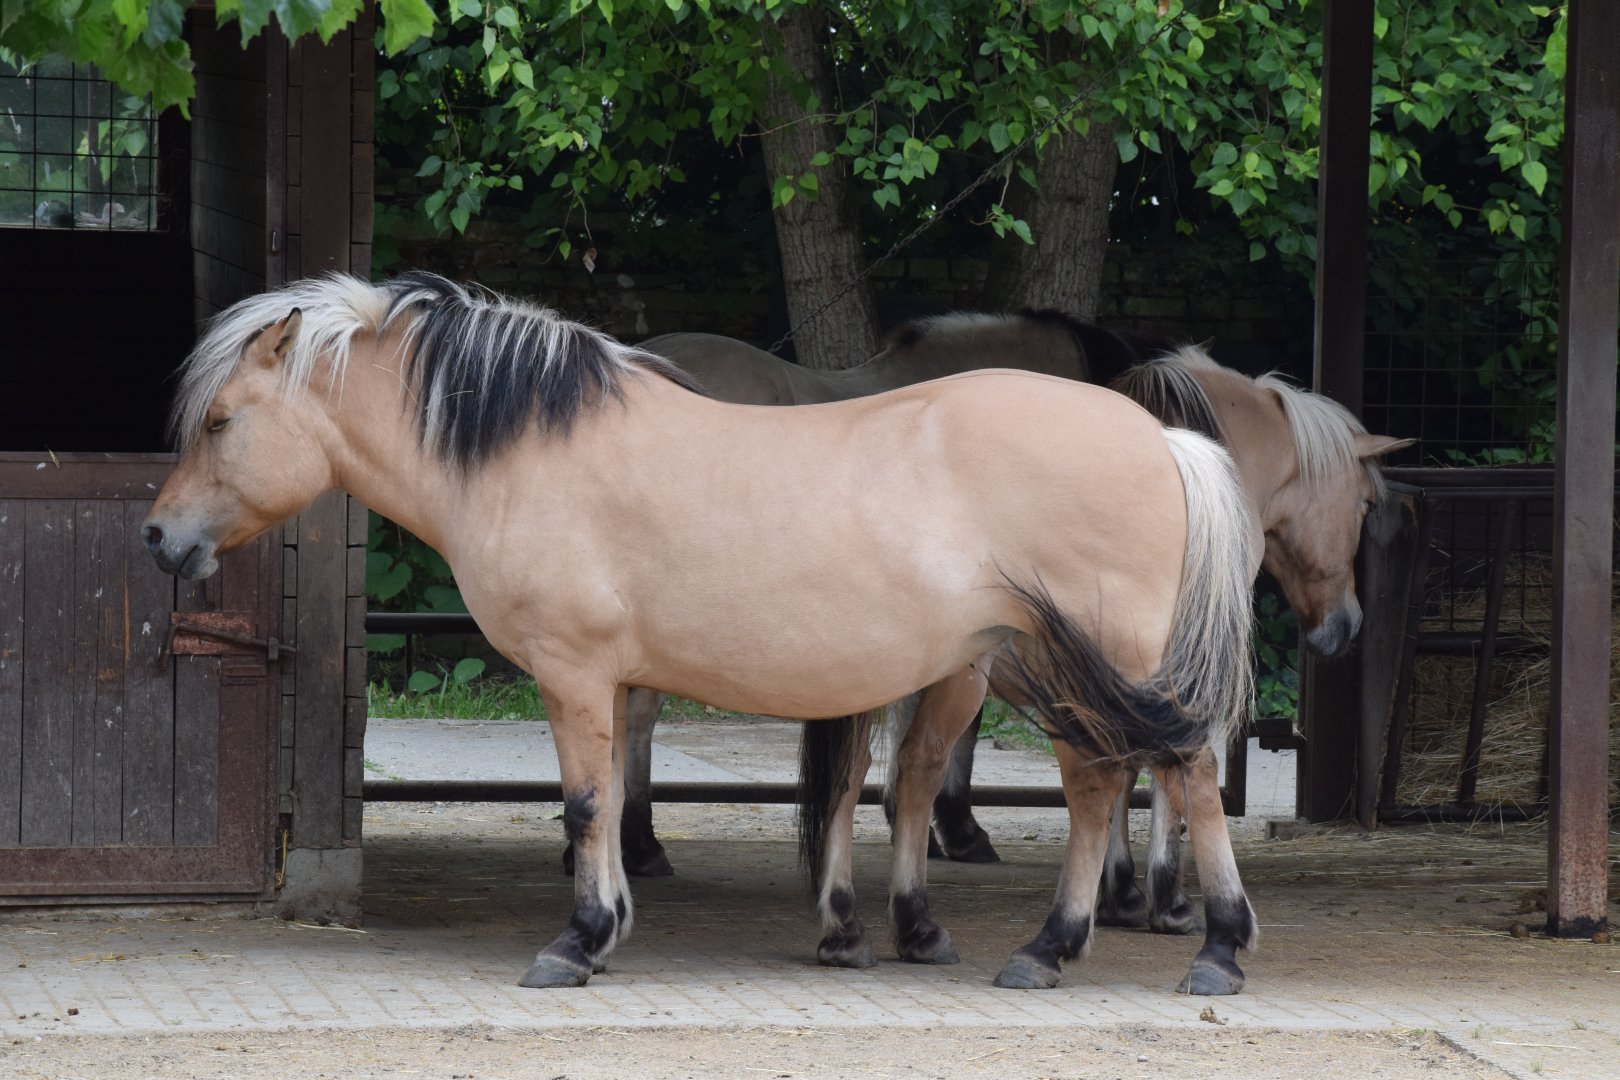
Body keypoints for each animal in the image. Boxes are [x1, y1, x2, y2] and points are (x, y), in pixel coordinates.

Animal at [140, 272, 1259, 990]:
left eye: (220, 423)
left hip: (1099, 664)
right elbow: (612, 799)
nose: (158, 536)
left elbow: (587, 802)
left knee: (1185, 775)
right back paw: (1047, 950)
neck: (530, 453)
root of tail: (1159, 437)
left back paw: (1213, 949)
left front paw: (580, 941)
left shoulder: (574, 673)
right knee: (1098, 786)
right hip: (1043, 669)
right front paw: (613, 924)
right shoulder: (612, 682)